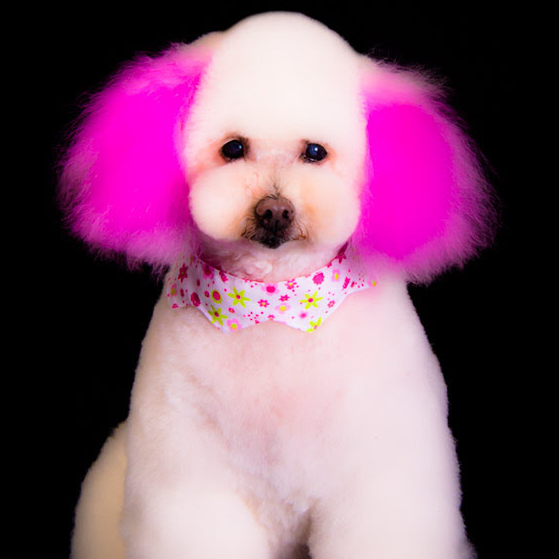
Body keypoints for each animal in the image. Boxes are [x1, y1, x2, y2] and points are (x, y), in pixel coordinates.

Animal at [59, 10, 496, 556]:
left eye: (315, 152)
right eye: (233, 148)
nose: (274, 210)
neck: (272, 304)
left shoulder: (379, 476)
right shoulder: (190, 479)